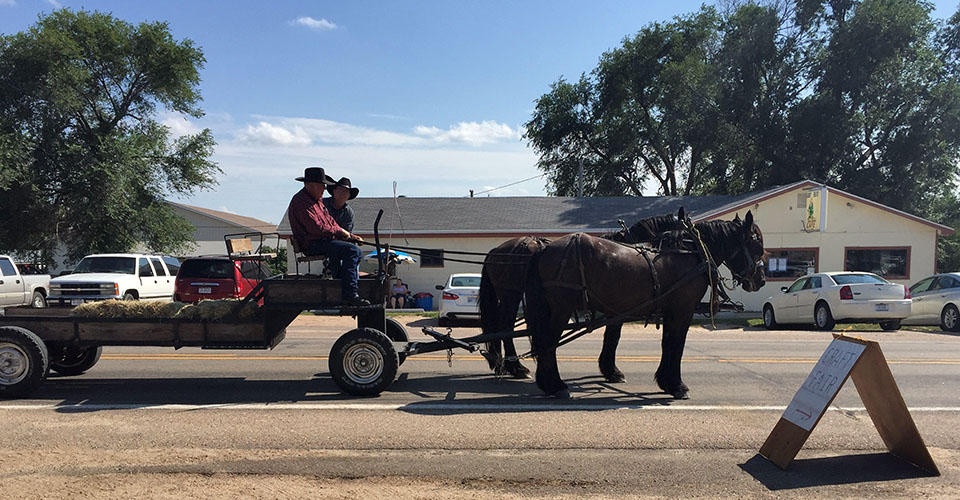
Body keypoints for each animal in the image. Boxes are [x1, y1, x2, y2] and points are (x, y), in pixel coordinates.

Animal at [480, 208, 688, 378]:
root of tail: (496, 250)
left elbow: (611, 335)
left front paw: (609, 369)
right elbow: (613, 335)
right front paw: (612, 371)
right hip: (510, 294)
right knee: (505, 326)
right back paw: (516, 368)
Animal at [524, 210, 764, 398]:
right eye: (756, 243)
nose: (760, 279)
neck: (691, 252)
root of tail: (545, 249)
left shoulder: (668, 311)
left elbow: (666, 344)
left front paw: (666, 382)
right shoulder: (682, 310)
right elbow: (677, 345)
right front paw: (677, 385)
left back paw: (547, 383)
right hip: (561, 307)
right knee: (548, 342)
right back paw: (556, 385)